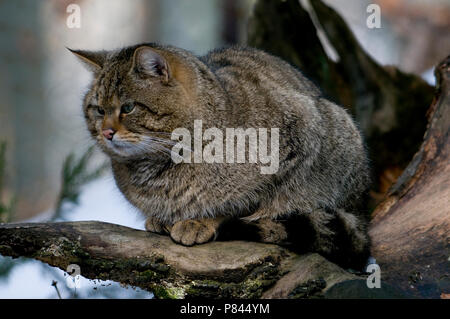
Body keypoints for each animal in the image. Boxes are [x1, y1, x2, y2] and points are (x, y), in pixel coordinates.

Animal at [70, 42, 370, 268]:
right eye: (98, 109)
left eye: (128, 107)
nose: (106, 132)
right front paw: (162, 217)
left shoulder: (298, 142)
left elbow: (247, 204)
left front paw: (202, 221)